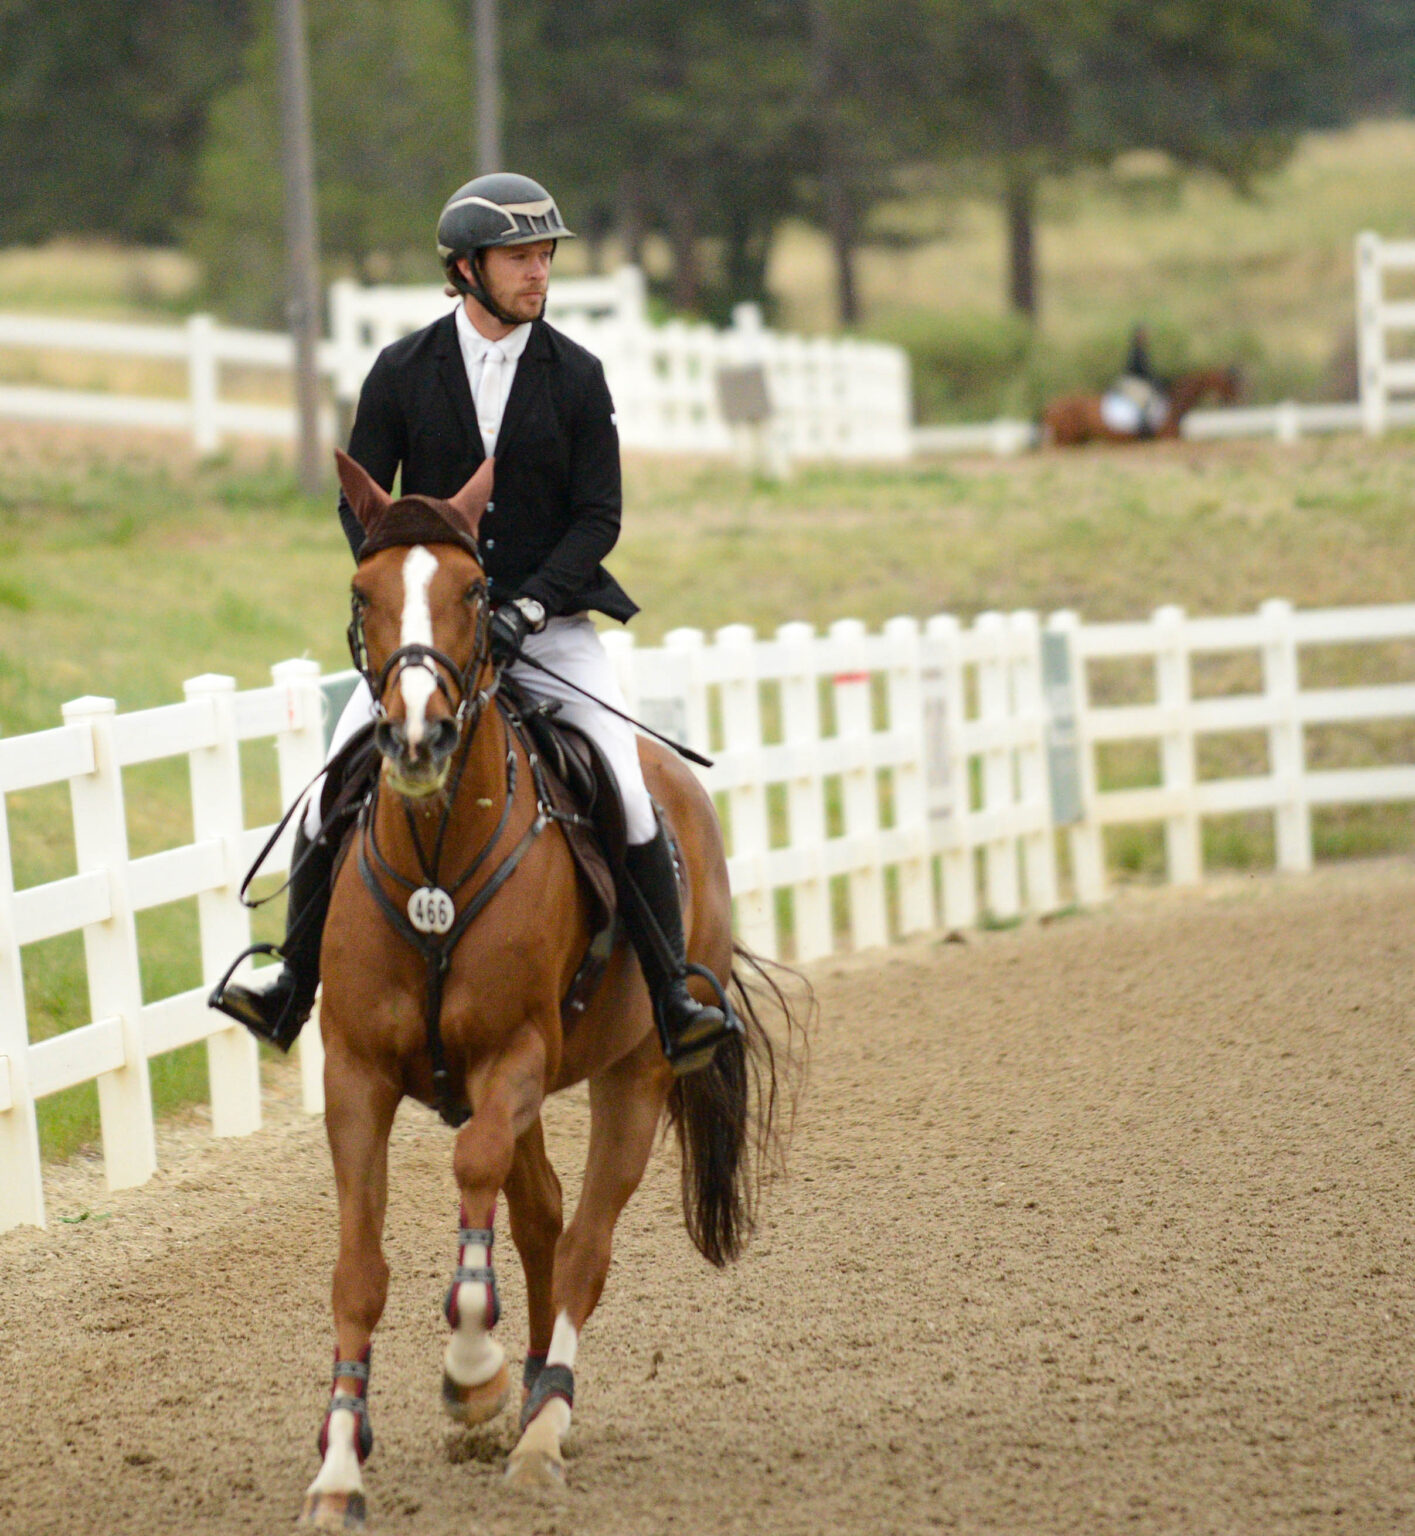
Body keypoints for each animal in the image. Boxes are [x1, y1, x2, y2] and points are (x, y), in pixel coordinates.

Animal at [299, 449, 801, 1528]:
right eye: (363, 593)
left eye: (474, 590)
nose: (416, 740)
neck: (437, 856)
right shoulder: (355, 1076)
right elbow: (359, 1272)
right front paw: (338, 1469)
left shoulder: (515, 1056)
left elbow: (479, 1175)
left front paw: (470, 1368)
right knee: (539, 1213)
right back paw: (525, 1398)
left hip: (635, 1076)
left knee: (582, 1244)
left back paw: (538, 1425)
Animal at [1041, 366, 1241, 447]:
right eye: (1230, 383)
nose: (1235, 402)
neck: (1174, 402)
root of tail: (1051, 405)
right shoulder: (1168, 439)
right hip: (1066, 440)